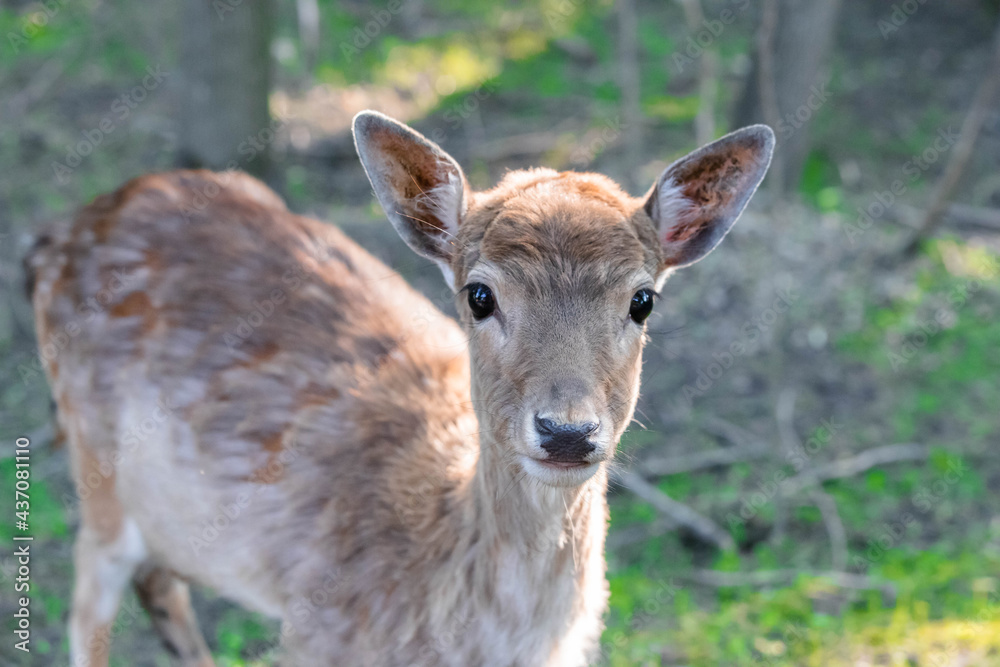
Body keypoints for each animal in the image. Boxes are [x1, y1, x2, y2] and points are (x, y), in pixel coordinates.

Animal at [25, 112, 772, 664]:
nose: (567, 430)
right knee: (88, 603)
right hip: (95, 462)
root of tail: (58, 232)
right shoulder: (318, 634)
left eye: (643, 299)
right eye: (479, 294)